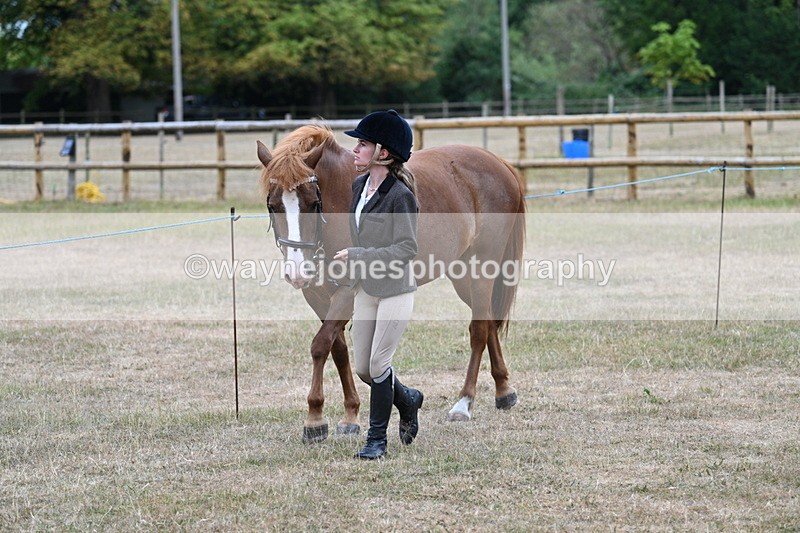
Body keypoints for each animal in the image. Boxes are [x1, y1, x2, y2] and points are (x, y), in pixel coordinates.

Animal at [256, 124, 526, 444]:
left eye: (313, 203)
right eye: (273, 206)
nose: (297, 271)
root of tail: (498, 163)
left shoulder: (347, 291)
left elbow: (320, 346)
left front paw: (315, 419)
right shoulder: (317, 296)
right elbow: (338, 350)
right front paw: (350, 415)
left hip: (483, 268)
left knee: (479, 330)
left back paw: (464, 403)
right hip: (463, 276)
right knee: (487, 322)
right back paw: (504, 391)